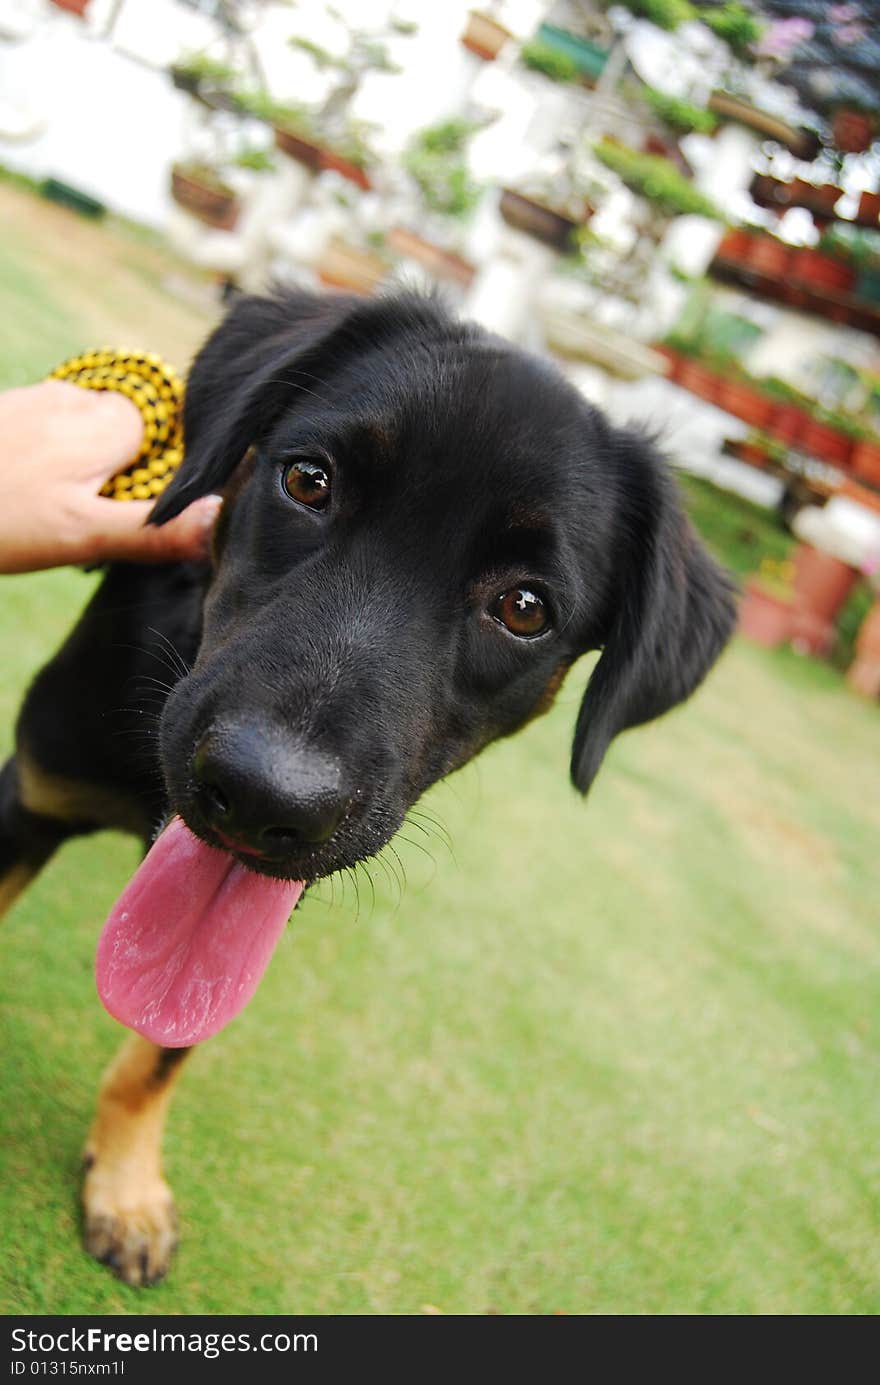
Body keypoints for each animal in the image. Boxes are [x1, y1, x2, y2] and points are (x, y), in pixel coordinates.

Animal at [0, 286, 737, 1279]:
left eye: (525, 608)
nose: (263, 796)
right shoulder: (32, 790)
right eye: (309, 482)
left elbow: (164, 1043)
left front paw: (125, 1185)